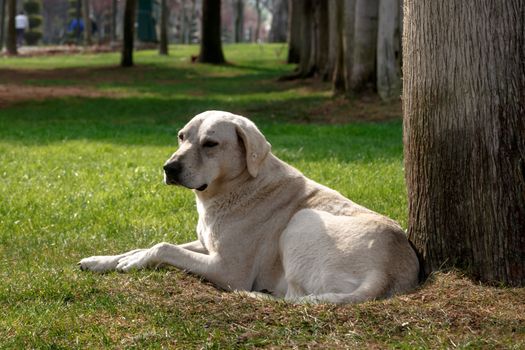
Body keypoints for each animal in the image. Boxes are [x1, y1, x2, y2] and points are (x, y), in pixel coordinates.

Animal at [80, 110, 420, 304]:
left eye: (210, 144)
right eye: (181, 137)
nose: (169, 168)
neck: (237, 187)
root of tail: (384, 272)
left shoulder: (226, 268)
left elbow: (164, 247)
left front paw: (135, 261)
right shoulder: (206, 244)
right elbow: (147, 245)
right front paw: (104, 260)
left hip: (303, 220)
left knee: (294, 296)